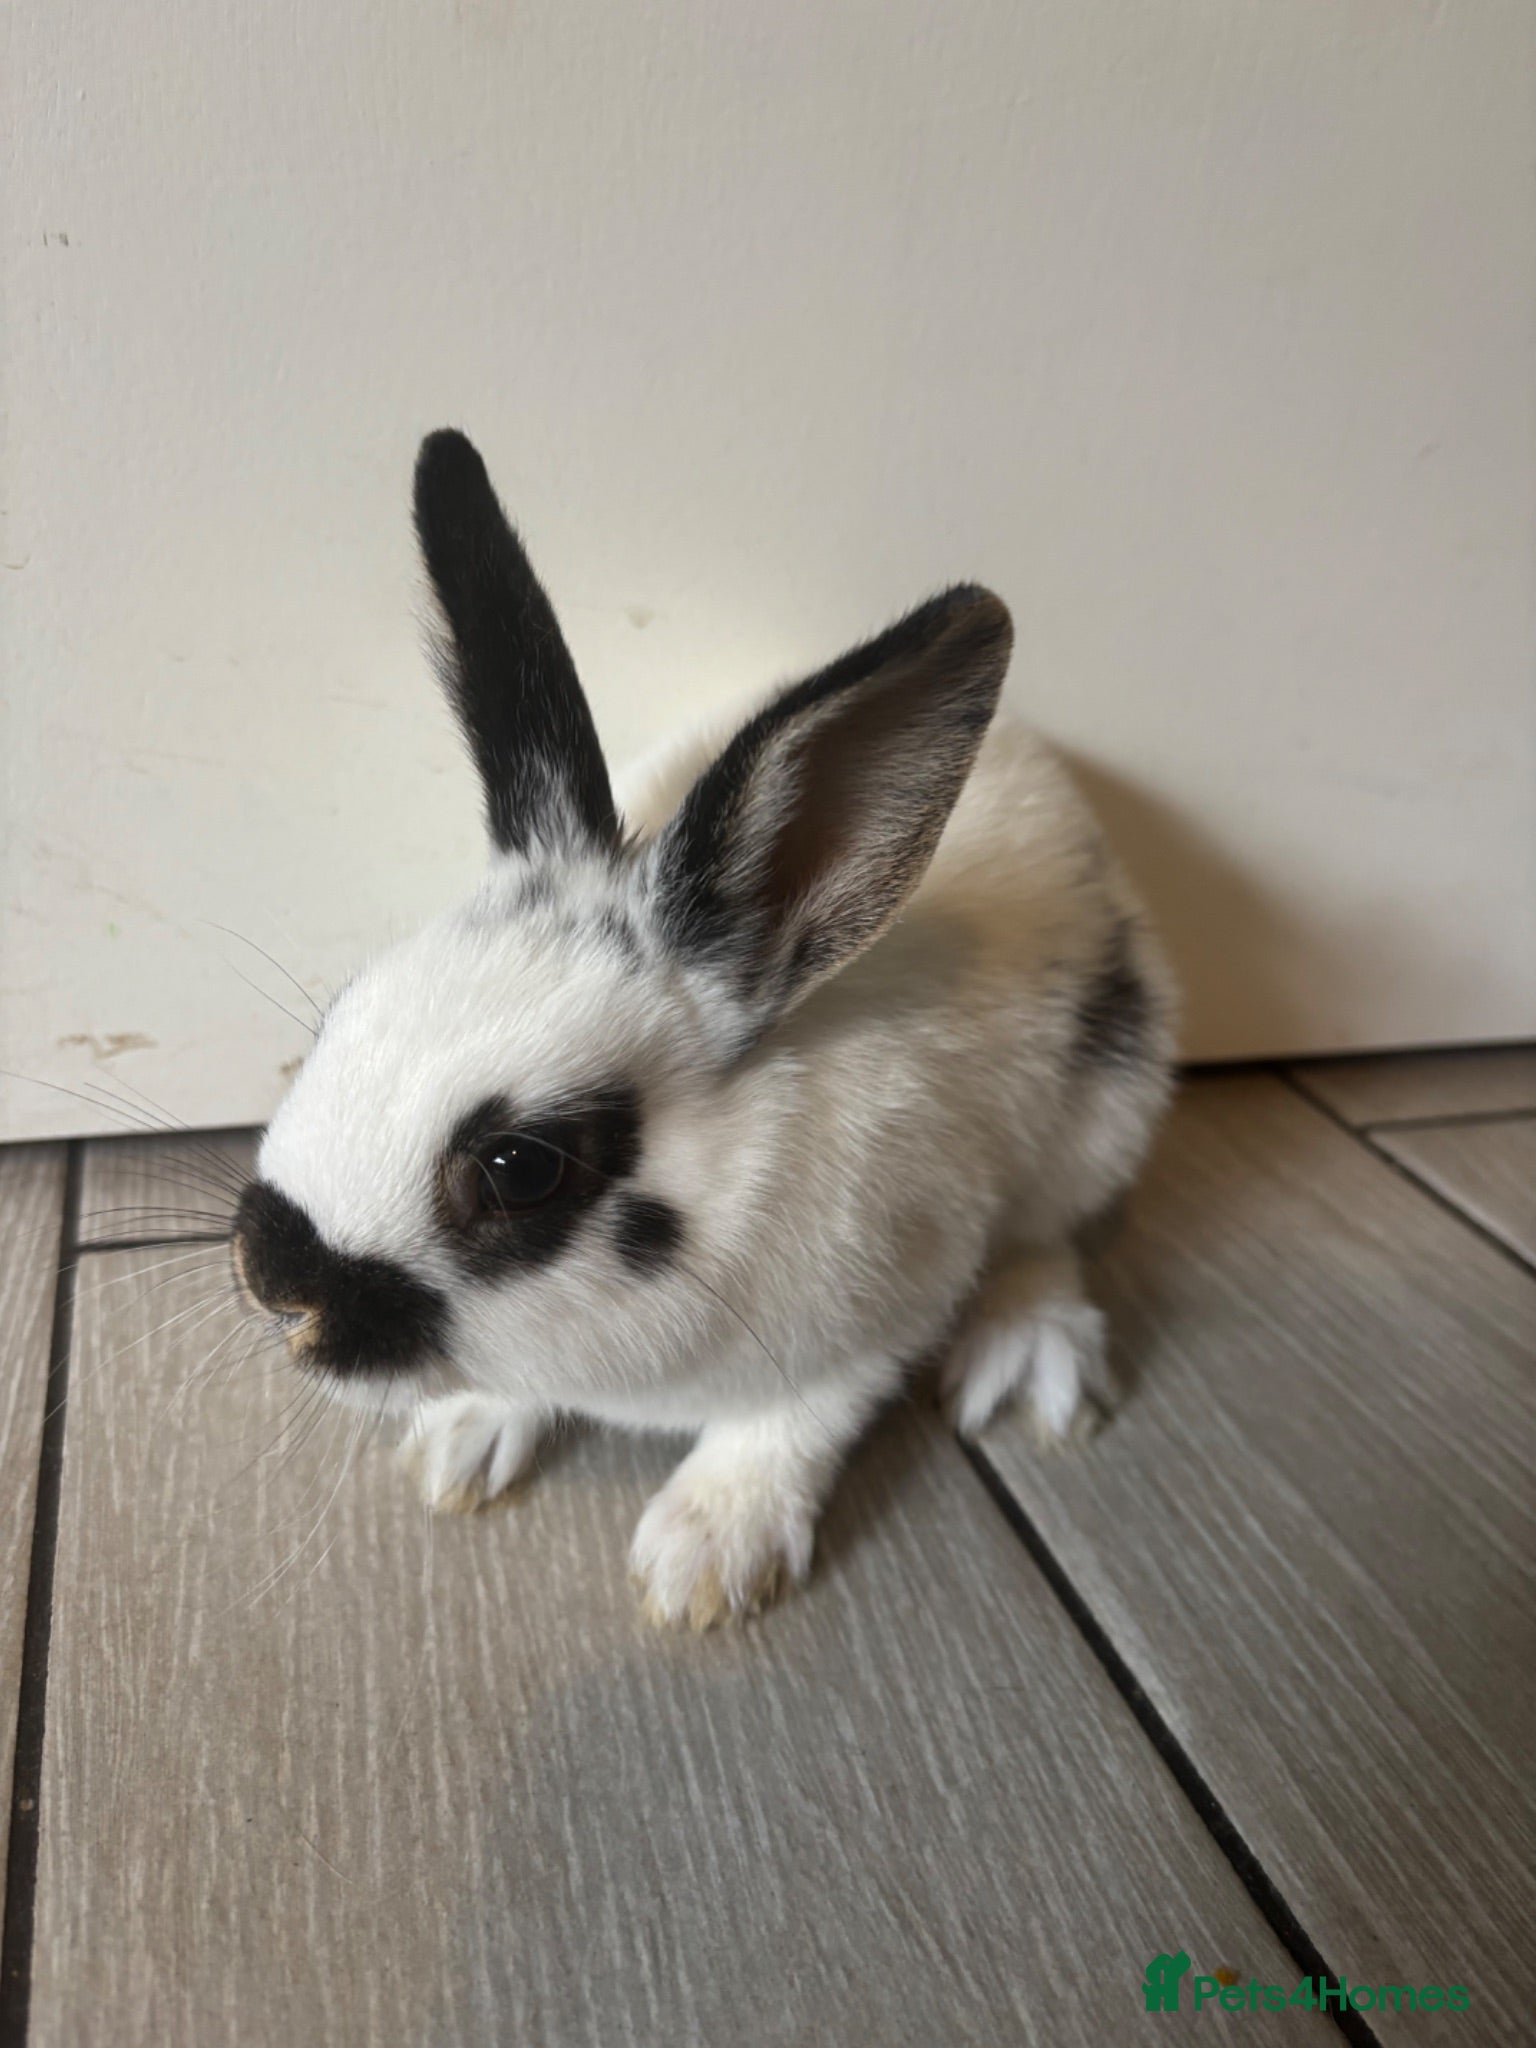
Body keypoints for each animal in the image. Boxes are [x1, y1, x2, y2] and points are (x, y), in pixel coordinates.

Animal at [231, 428, 1177, 1630]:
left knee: (1047, 1238)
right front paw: (459, 1443)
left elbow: (792, 1424)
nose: (272, 1281)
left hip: (1105, 1107)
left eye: (520, 1166)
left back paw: (1028, 1362)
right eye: (342, 1012)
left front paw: (704, 1563)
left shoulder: (882, 1308)